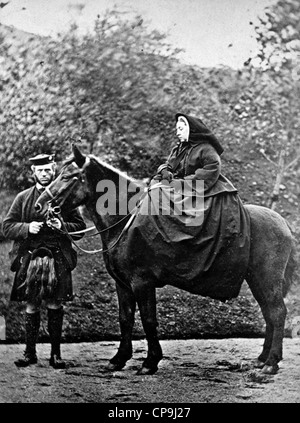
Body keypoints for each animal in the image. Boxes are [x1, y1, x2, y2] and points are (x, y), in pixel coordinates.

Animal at [34, 144, 296, 376]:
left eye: (68, 176)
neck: (127, 219)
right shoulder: (122, 284)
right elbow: (125, 319)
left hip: (266, 280)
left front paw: (150, 362)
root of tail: (284, 224)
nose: (39, 206)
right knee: (269, 314)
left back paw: (270, 364)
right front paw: (119, 359)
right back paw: (262, 359)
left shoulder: (142, 283)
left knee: (277, 313)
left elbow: (149, 320)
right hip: (258, 282)